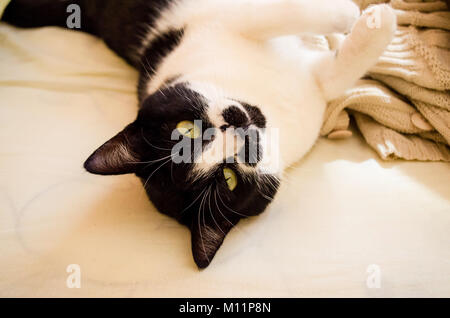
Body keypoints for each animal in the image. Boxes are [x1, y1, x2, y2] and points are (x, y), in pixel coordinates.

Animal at [4, 0, 398, 268]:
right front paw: (372, 19)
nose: (242, 135)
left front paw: (355, 21)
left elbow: (285, 18)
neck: (267, 97)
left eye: (185, 131)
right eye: (230, 178)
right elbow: (321, 48)